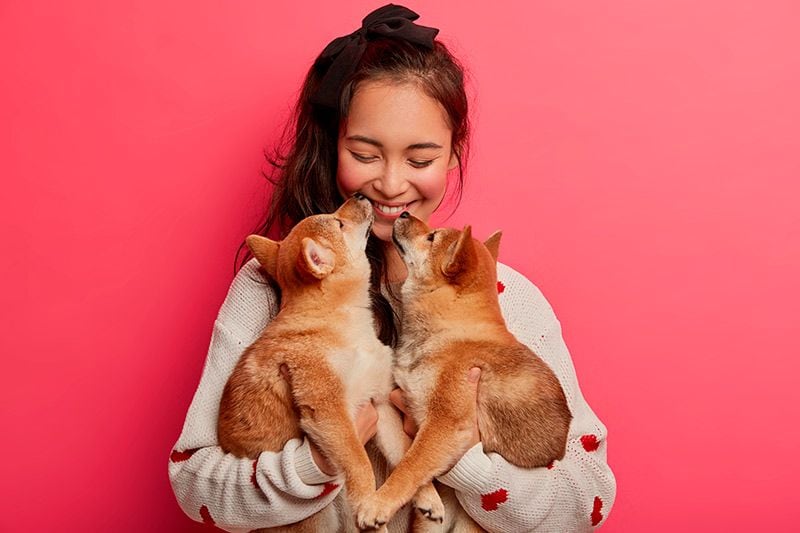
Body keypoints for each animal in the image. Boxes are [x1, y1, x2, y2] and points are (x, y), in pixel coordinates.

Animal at [219, 195, 440, 532]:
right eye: (339, 223)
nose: (358, 196)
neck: (343, 321)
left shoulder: (380, 405)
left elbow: (404, 455)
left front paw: (427, 496)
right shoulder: (330, 412)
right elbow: (359, 462)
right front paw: (368, 504)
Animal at [354, 211, 568, 528]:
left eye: (431, 237)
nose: (404, 213)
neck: (450, 328)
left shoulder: (444, 424)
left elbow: (410, 465)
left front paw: (379, 503)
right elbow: (405, 455)